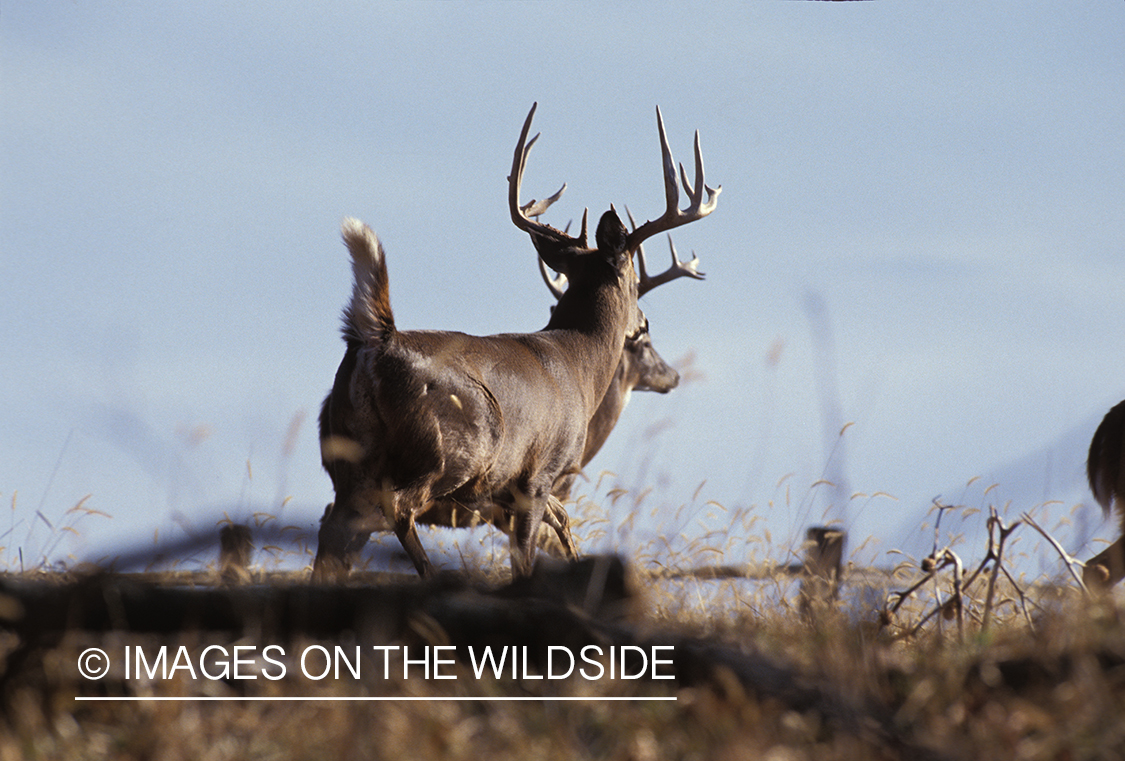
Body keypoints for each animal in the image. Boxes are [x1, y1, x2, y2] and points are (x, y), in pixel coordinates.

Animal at [315, 102, 720, 580]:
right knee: (398, 508)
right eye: (636, 283)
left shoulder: (516, 494)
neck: (581, 363)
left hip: (347, 457)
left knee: (332, 535)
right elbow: (525, 558)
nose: (641, 325)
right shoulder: (539, 476)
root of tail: (375, 340)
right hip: (447, 448)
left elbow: (562, 527)